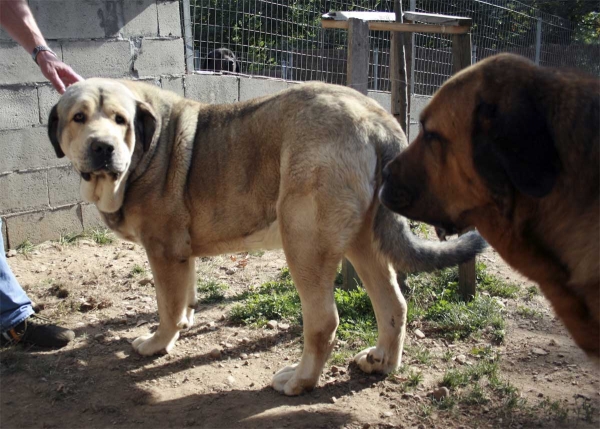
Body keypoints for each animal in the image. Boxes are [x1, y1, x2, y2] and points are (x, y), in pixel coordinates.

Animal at [48, 78, 488, 392]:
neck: (148, 146)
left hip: (303, 240)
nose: (103, 147)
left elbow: (166, 307)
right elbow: (184, 297)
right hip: (364, 243)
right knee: (393, 306)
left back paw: (298, 381)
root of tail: (376, 115)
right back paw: (382, 362)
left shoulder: (164, 251)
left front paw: (158, 343)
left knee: (324, 322)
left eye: (119, 120)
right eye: (79, 118)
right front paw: (187, 322)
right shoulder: (182, 254)